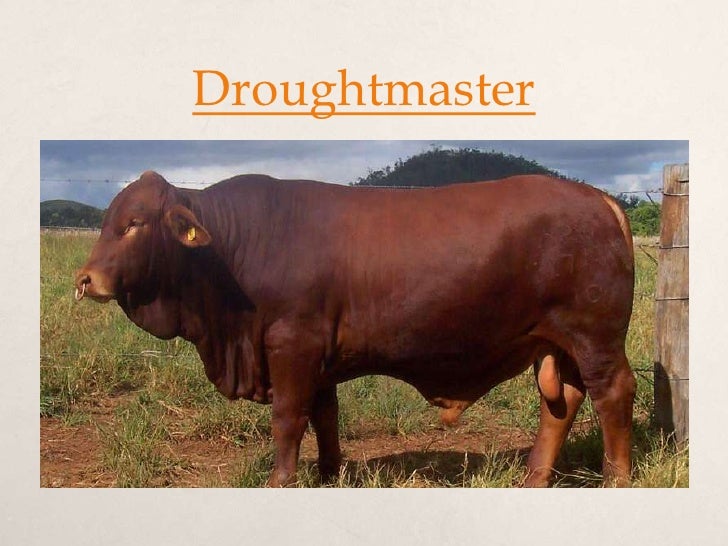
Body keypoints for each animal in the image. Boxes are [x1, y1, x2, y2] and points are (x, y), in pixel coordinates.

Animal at [74, 170, 636, 487]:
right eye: (105, 221)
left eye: (135, 223)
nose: (86, 279)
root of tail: (598, 199)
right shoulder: (319, 359)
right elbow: (325, 417)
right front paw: (328, 472)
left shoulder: (291, 344)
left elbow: (288, 418)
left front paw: (282, 480)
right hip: (558, 343)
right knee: (560, 404)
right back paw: (533, 478)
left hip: (595, 339)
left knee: (612, 394)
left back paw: (616, 477)